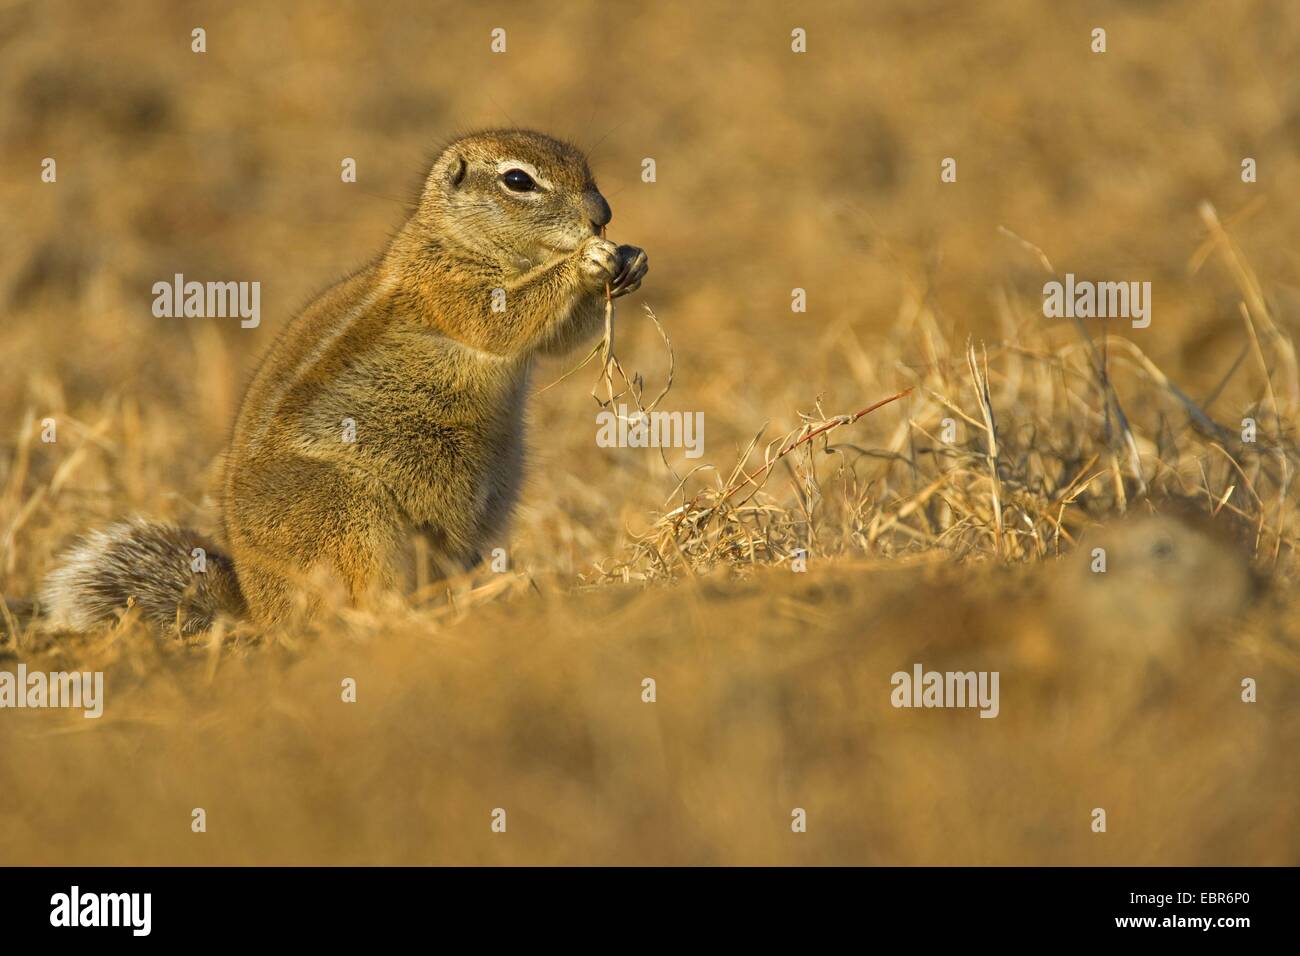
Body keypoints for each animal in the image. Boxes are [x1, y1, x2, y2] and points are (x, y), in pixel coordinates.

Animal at [40, 128, 650, 634]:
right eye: (519, 181)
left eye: (587, 170)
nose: (603, 215)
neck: (453, 237)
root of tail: (258, 610)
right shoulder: (448, 285)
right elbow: (503, 320)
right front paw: (588, 262)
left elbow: (556, 340)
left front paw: (631, 259)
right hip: (349, 510)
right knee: (365, 601)